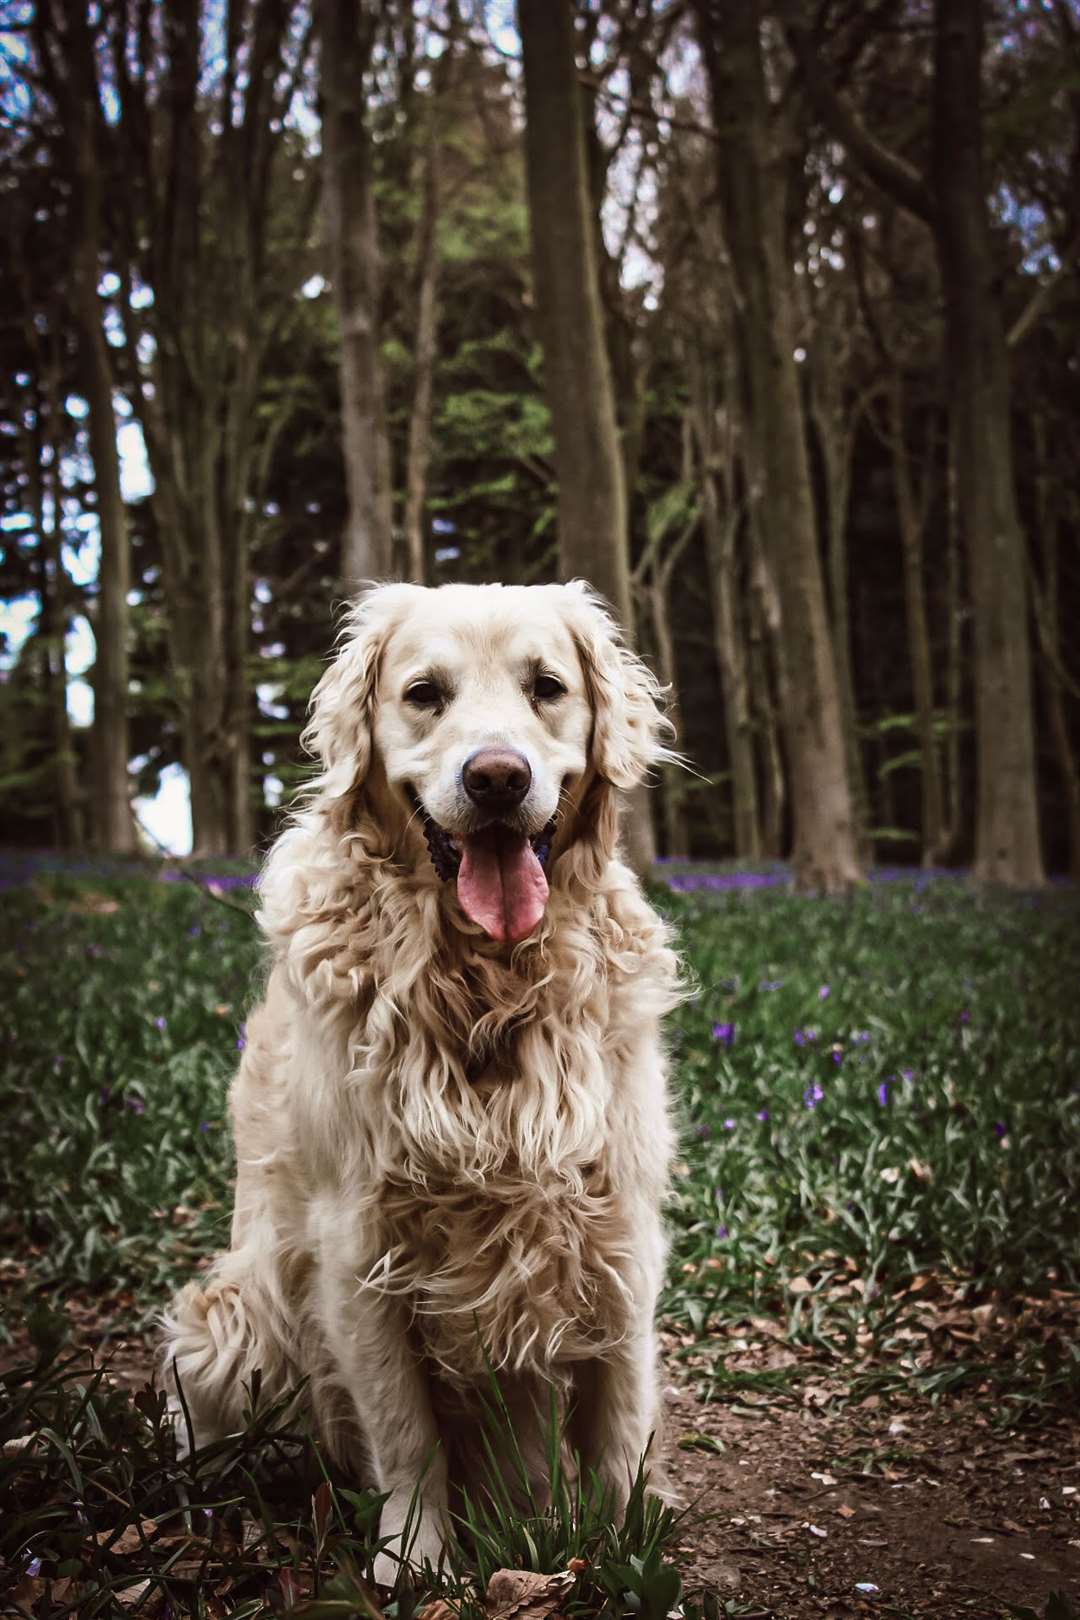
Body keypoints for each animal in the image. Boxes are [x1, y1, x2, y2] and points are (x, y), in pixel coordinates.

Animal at [160, 583, 683, 1581]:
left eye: (547, 687)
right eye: (423, 694)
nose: (497, 780)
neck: (485, 988)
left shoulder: (617, 1225)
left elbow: (621, 1421)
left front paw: (630, 1552)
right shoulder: (358, 1247)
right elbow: (406, 1435)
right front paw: (416, 1562)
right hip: (230, 1324)